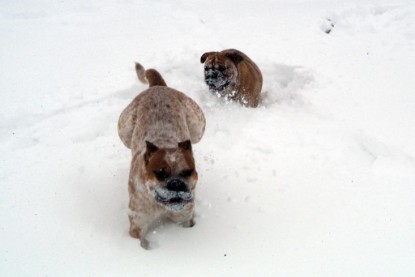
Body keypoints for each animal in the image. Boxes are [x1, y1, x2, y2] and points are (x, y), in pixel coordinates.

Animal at [118, 63, 206, 248]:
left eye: (187, 172)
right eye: (160, 173)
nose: (176, 184)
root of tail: (158, 86)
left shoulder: (184, 219)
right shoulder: (137, 224)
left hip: (198, 128)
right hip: (124, 130)